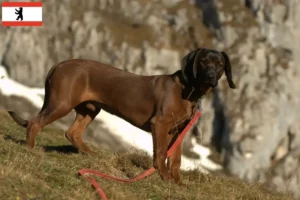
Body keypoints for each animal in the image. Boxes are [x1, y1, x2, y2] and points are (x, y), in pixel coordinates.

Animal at [7, 47, 237, 184]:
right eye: (204, 61)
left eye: (220, 65)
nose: (211, 76)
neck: (189, 88)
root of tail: (60, 64)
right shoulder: (160, 125)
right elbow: (161, 153)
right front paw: (162, 176)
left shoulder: (178, 131)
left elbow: (176, 159)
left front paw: (177, 182)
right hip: (61, 103)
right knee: (35, 123)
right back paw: (31, 149)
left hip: (90, 109)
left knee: (72, 133)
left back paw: (89, 154)